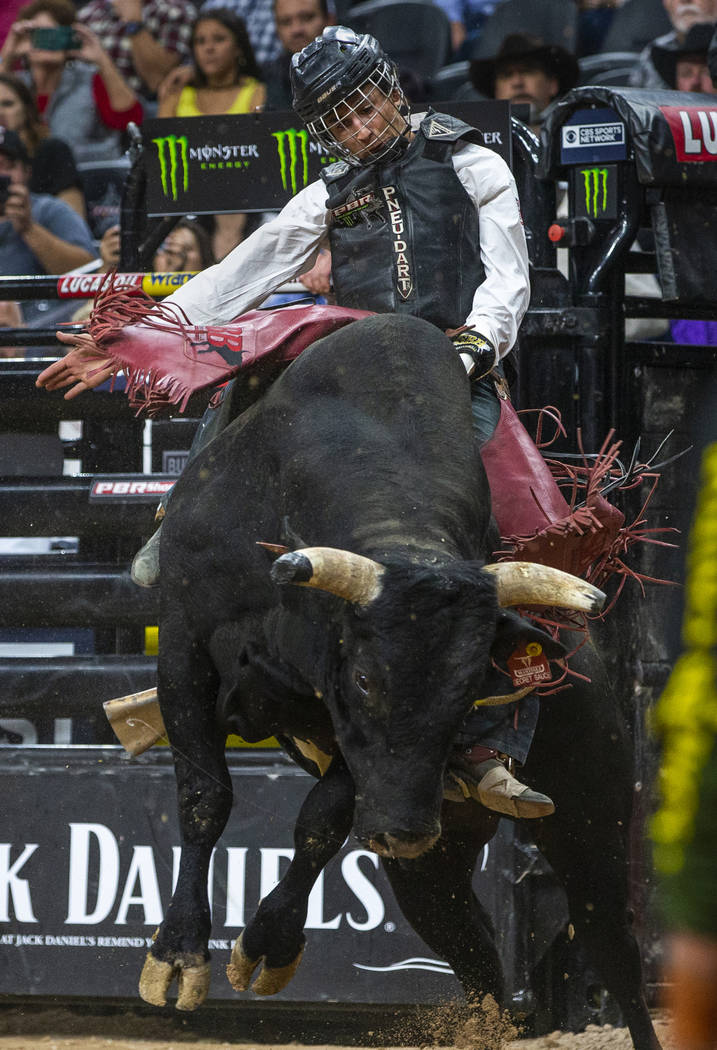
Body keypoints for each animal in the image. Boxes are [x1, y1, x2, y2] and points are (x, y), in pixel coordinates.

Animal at [138, 312, 663, 1050]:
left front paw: (267, 944)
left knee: (611, 946)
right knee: (477, 960)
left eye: (473, 688)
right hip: (434, 872)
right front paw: (179, 953)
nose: (406, 830)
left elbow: (322, 818)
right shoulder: (184, 642)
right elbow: (203, 797)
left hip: (590, 815)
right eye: (364, 678)